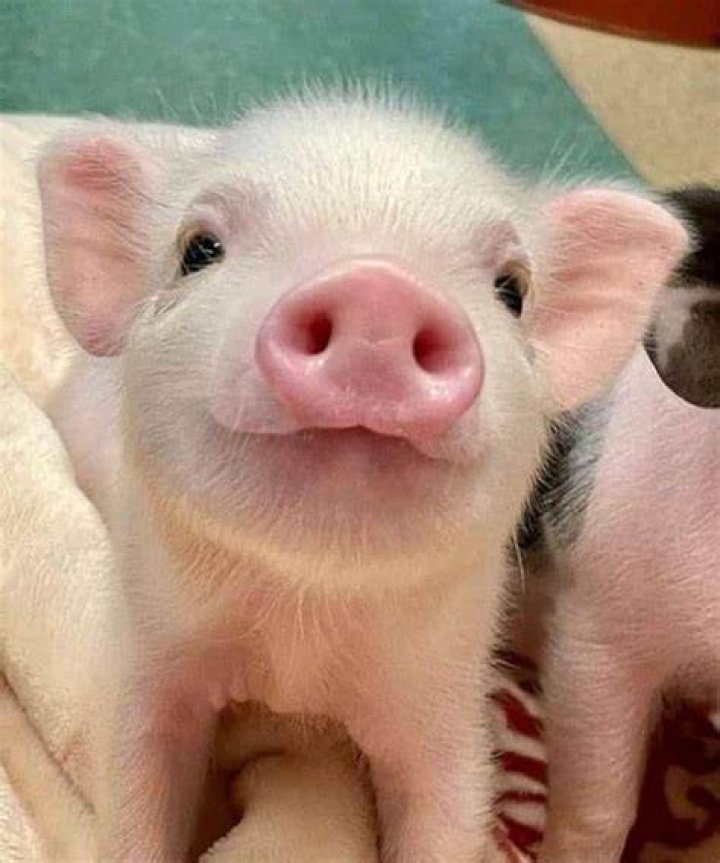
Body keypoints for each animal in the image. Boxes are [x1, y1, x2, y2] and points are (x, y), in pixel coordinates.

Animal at [36, 90, 688, 863]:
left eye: (512, 289)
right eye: (197, 249)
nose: (378, 290)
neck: (299, 639)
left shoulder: (446, 691)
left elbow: (448, 805)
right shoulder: (151, 648)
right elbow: (137, 781)